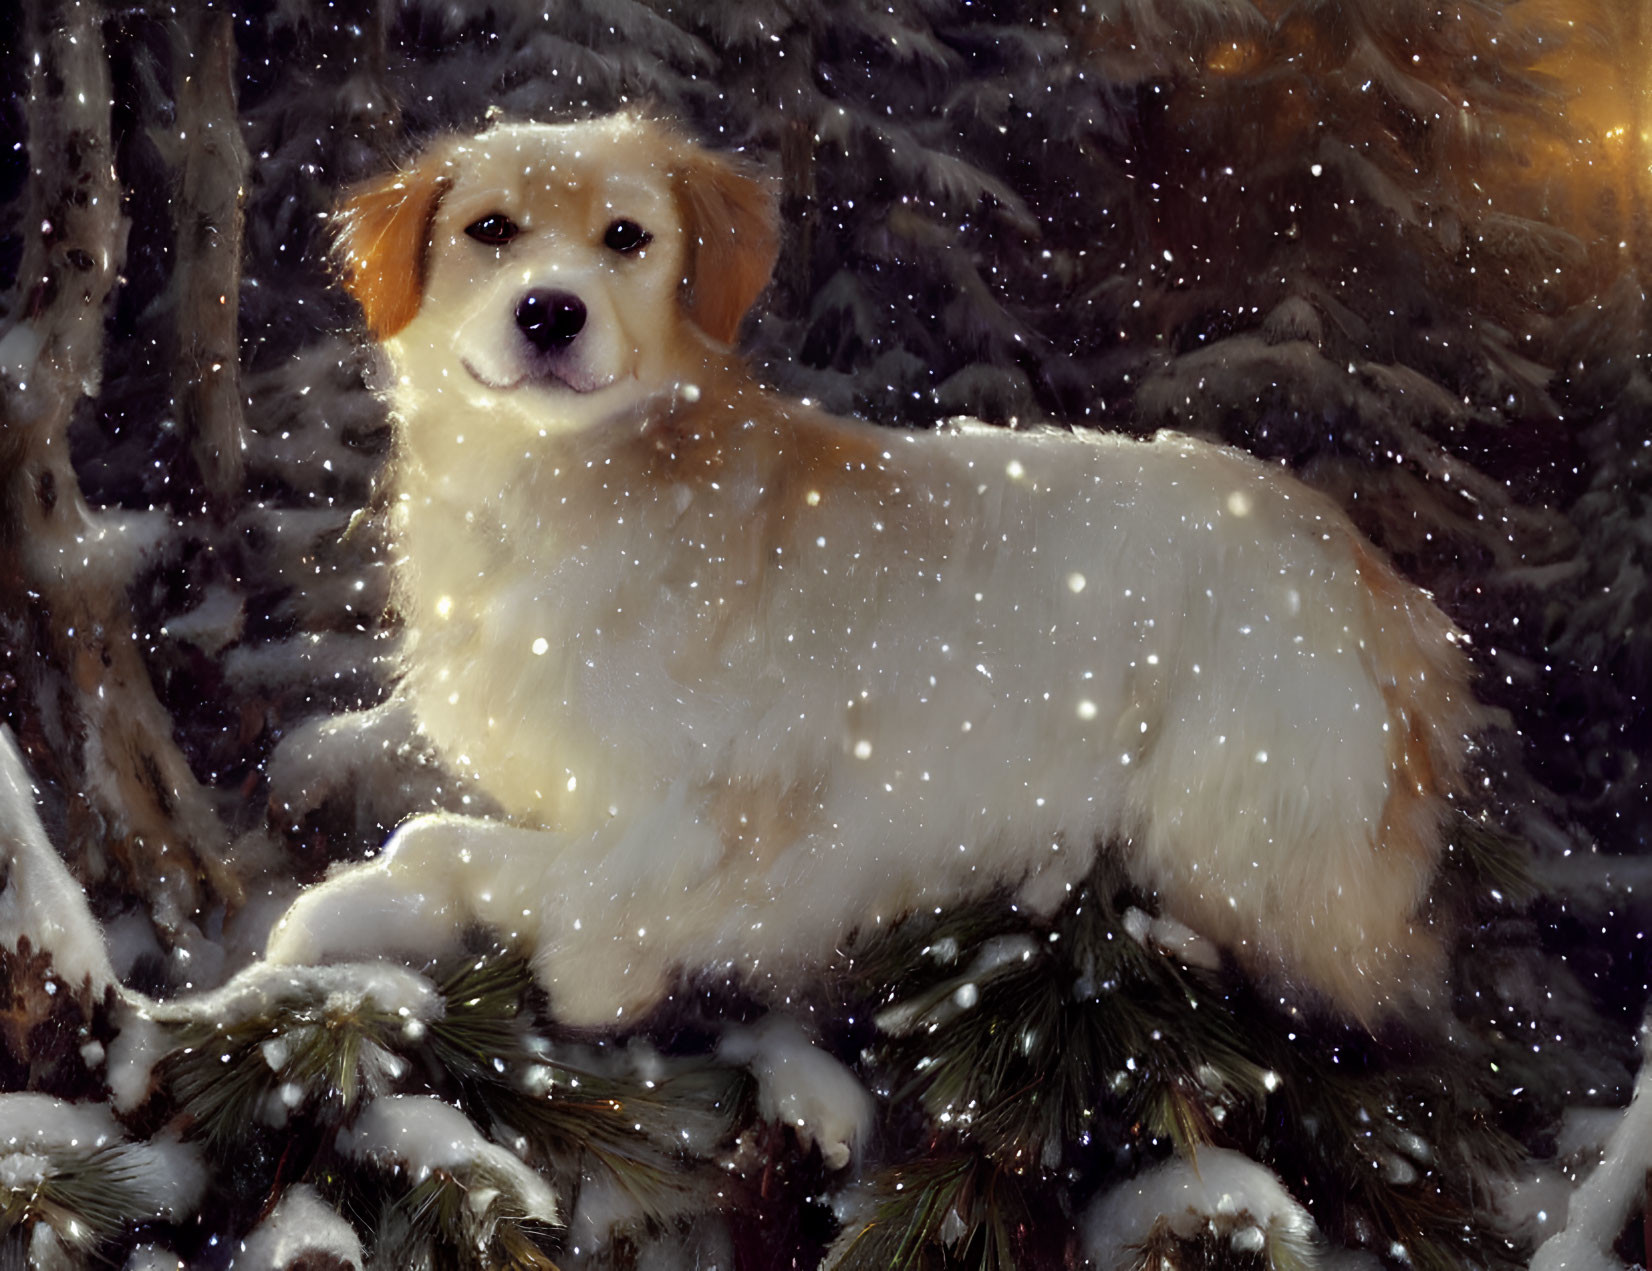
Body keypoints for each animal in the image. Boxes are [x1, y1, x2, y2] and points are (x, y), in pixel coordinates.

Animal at [267, 109, 1486, 1044]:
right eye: (490, 229)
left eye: (625, 237)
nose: (551, 310)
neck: (571, 486)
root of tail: (1375, 579)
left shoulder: (693, 826)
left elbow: (463, 852)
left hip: (1233, 809)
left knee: (1354, 974)